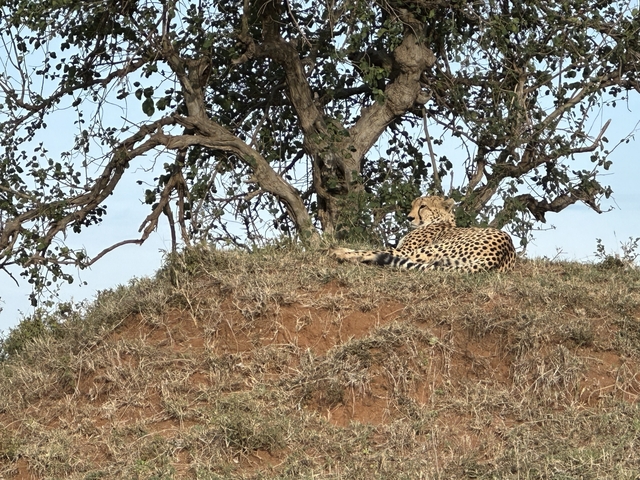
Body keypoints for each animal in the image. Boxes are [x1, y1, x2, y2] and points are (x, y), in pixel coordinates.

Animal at [330, 195, 516, 272]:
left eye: (423, 206)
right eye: (412, 205)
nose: (409, 217)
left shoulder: (405, 249)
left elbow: (376, 248)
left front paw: (342, 250)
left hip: (428, 250)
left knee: (382, 254)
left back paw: (342, 253)